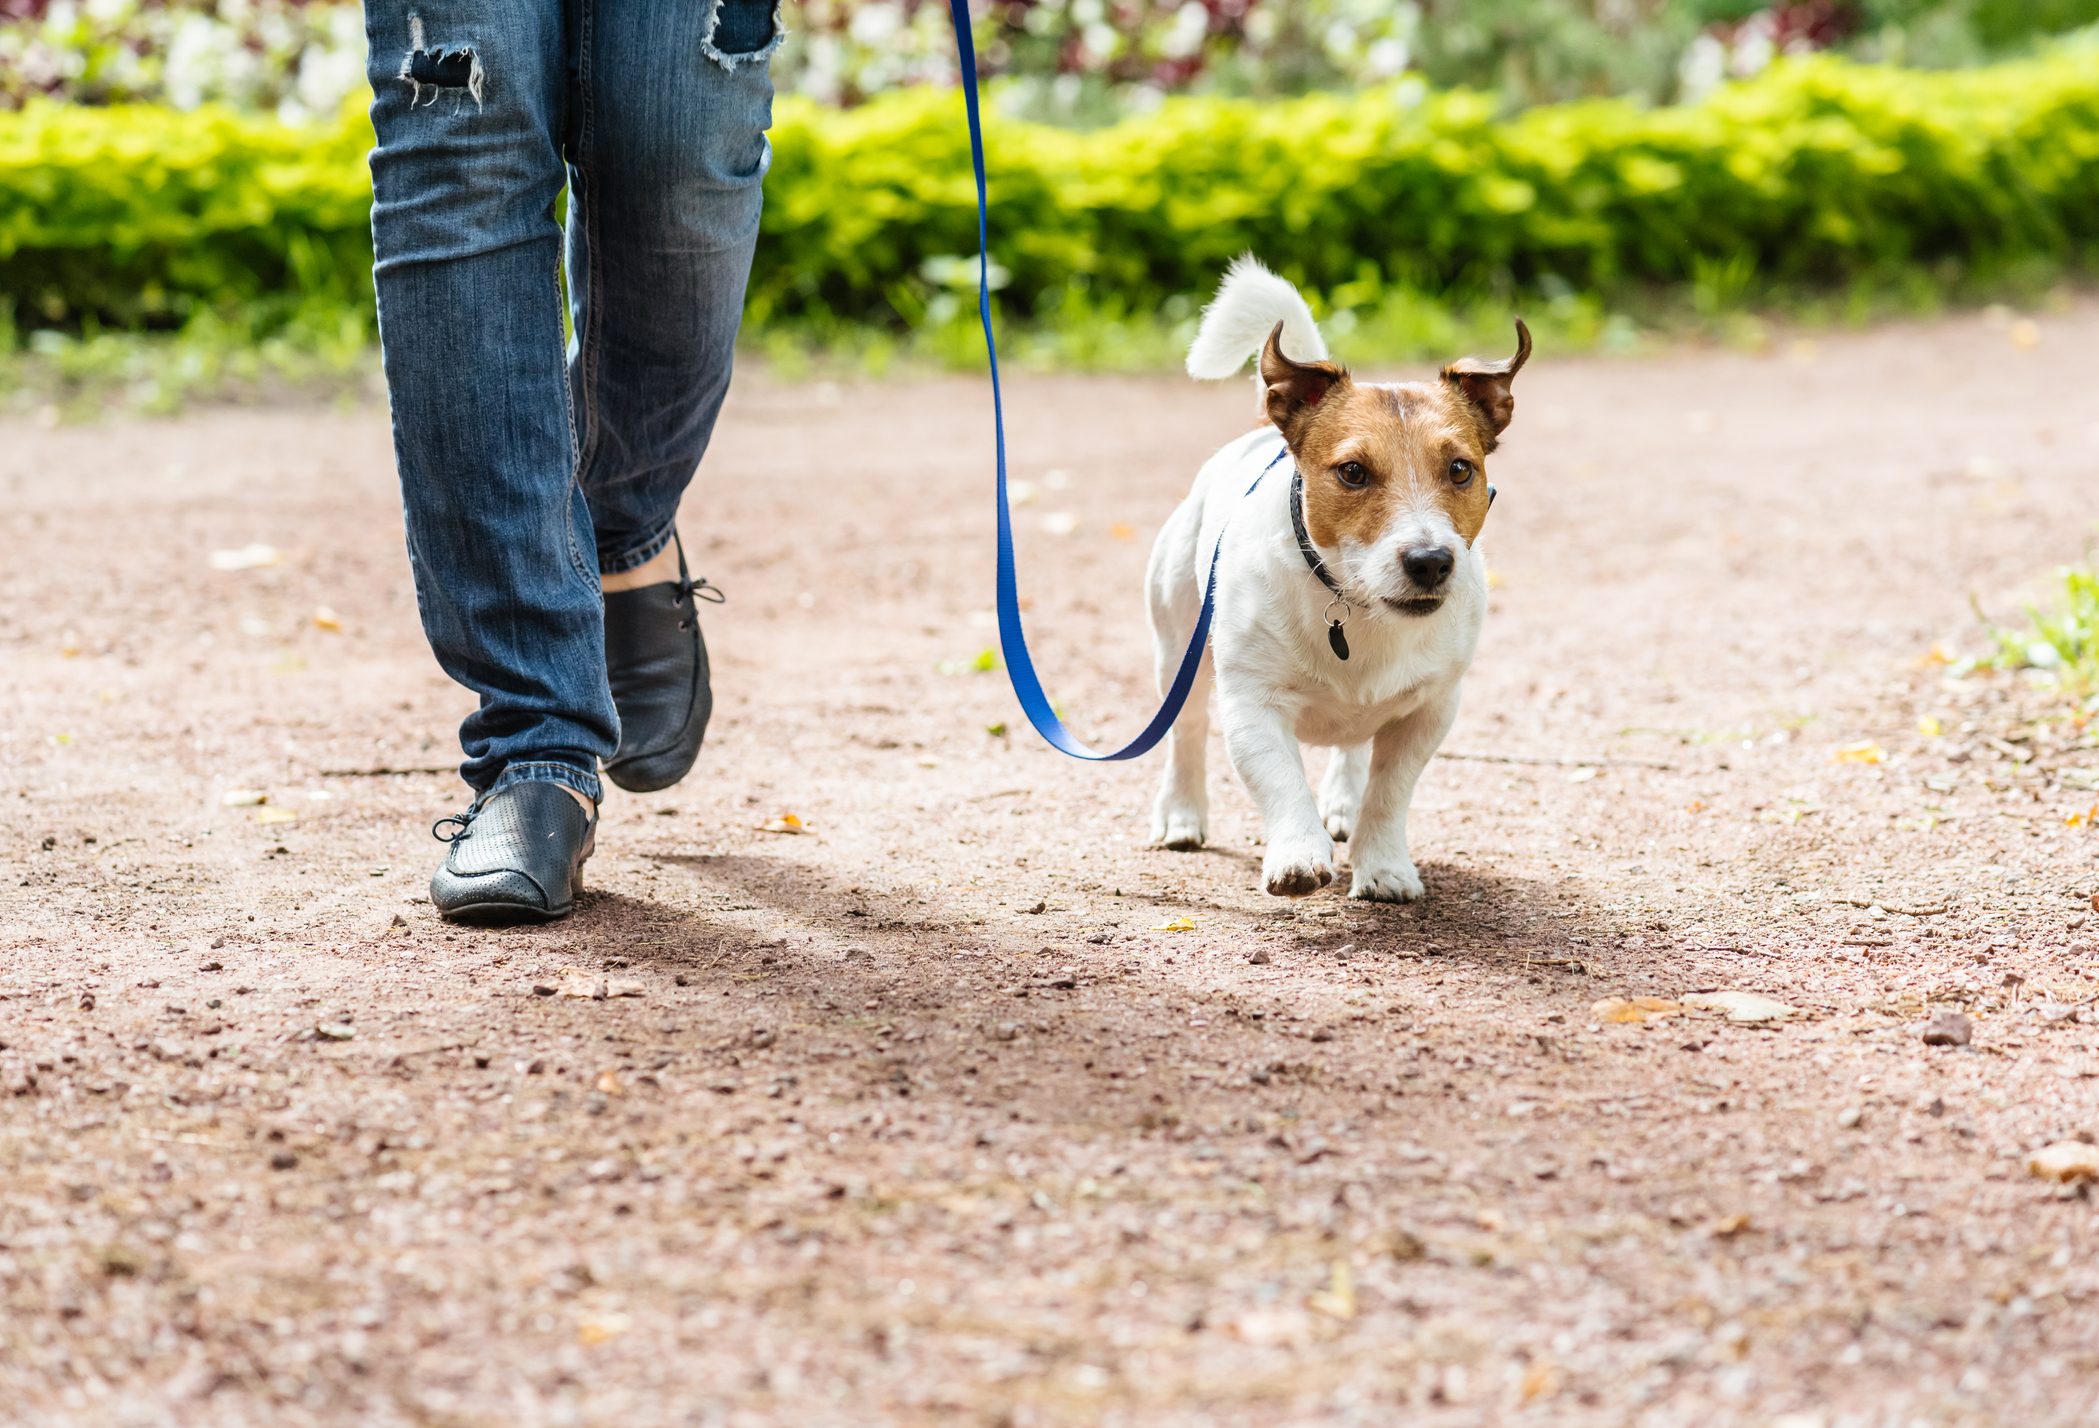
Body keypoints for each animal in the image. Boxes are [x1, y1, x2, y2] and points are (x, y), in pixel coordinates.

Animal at [1150, 255, 1528, 898]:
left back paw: (1343, 804)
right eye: (1352, 472)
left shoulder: (1430, 709)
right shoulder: (1253, 704)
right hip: (1179, 646)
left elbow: (1390, 791)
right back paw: (1182, 814)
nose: (1430, 561)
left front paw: (1384, 866)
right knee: (1187, 733)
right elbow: (1280, 782)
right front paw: (1298, 855)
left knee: (1352, 750)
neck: (1356, 607)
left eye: (1461, 469)